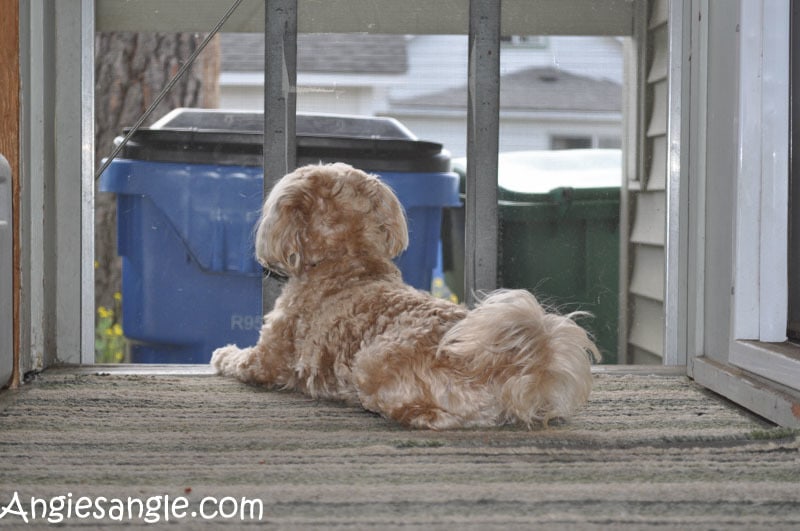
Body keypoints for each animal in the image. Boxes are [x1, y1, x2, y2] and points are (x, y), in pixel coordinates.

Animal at [212, 163, 600, 432]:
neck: (348, 259)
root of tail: (495, 366)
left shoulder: (266, 358)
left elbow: (238, 360)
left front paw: (222, 353)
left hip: (371, 363)